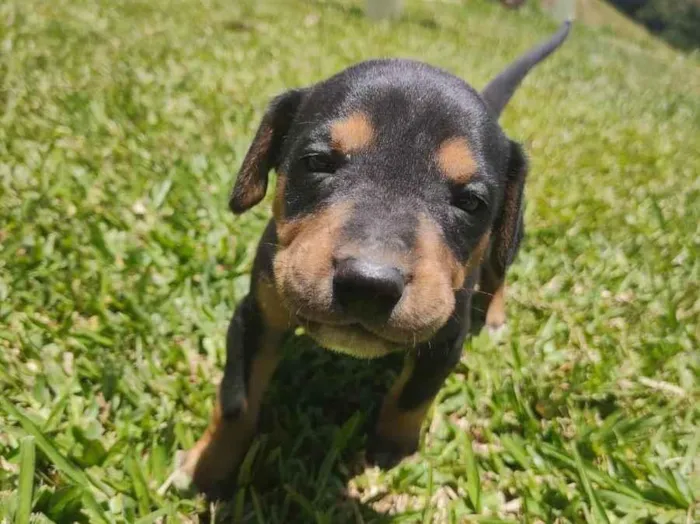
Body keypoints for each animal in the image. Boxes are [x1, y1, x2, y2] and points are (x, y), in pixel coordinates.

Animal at [179, 21, 568, 496]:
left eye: (471, 202)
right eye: (317, 161)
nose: (369, 284)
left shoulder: (446, 337)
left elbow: (412, 397)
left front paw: (391, 451)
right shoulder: (256, 314)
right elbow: (237, 400)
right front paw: (207, 468)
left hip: (507, 239)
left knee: (499, 271)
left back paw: (494, 316)